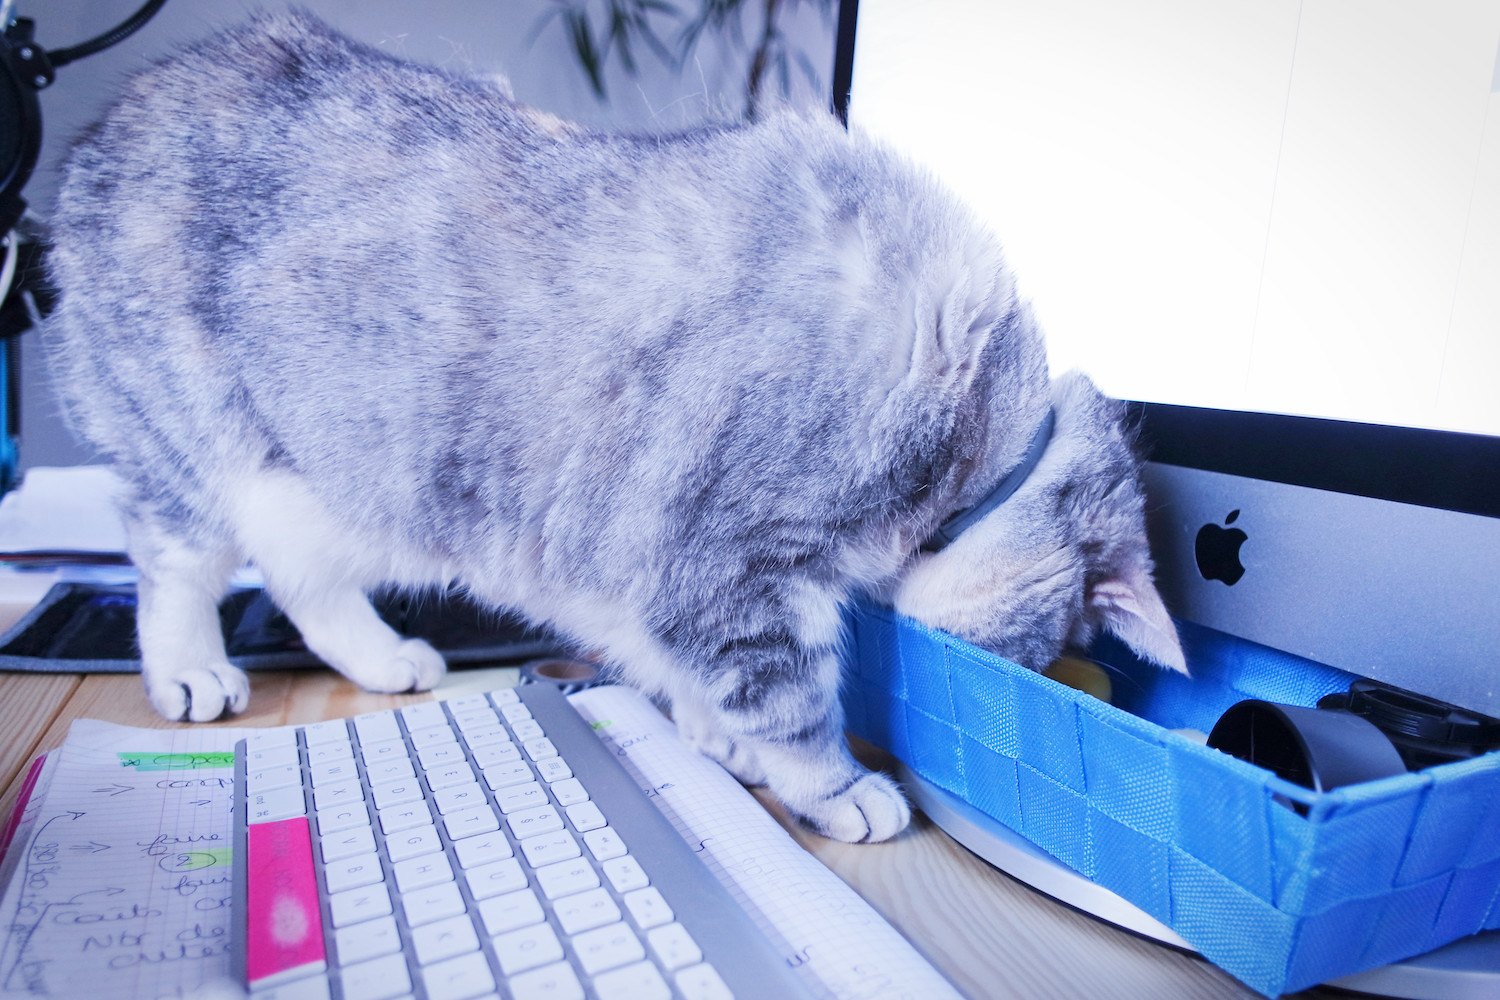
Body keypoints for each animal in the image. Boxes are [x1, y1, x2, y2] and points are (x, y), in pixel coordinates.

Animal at [49, 13, 1182, 845]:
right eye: (1044, 651)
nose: (1017, 681)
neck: (979, 416)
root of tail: (105, 125)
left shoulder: (652, 580)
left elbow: (685, 672)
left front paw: (719, 740)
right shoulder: (730, 564)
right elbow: (790, 700)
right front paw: (833, 785)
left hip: (357, 480)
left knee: (301, 580)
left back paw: (384, 658)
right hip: (197, 443)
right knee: (168, 554)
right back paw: (190, 668)